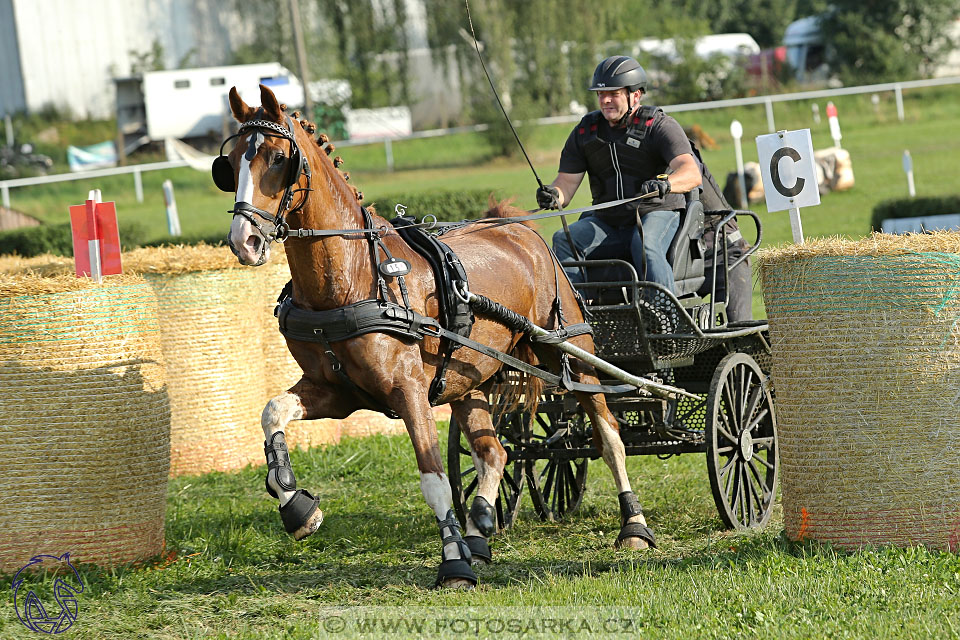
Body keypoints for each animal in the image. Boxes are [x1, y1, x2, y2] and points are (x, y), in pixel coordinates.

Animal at [218, 86, 656, 592]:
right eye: (229, 163)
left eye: (276, 158)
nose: (244, 240)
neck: (356, 277)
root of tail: (521, 229)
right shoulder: (336, 392)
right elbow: (272, 412)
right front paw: (297, 506)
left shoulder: (407, 391)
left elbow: (433, 479)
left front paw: (453, 563)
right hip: (468, 381)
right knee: (494, 452)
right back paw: (481, 529)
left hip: (575, 357)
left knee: (609, 436)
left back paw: (634, 526)